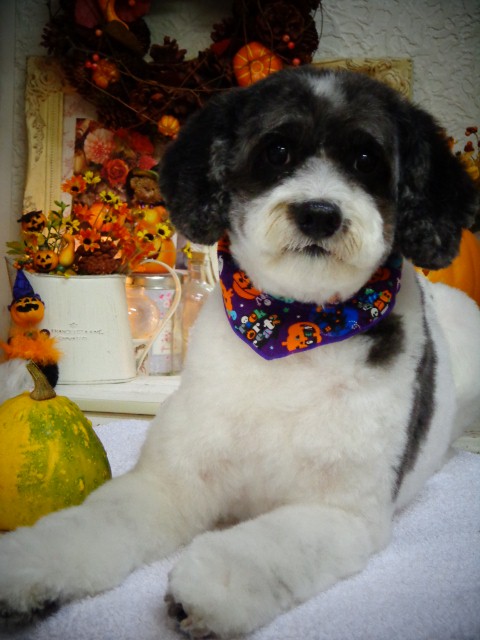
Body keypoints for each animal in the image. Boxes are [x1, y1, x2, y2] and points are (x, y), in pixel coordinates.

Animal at [1, 66, 479, 639]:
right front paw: (31, 563)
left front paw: (212, 587)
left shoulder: (337, 511)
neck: (290, 333)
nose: (318, 214)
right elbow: (98, 522)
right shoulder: (173, 479)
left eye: (366, 160)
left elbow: (264, 549)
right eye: (277, 151)